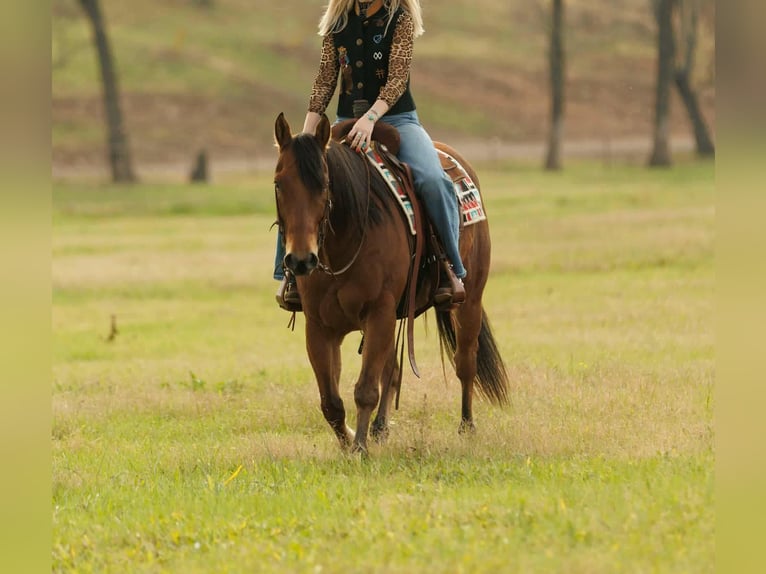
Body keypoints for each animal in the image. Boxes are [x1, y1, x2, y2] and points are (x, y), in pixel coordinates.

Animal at [272, 112, 508, 454]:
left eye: (325, 184)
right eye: (278, 184)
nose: (301, 260)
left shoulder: (378, 313)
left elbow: (365, 389)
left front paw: (359, 449)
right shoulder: (320, 326)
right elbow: (331, 401)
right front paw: (349, 443)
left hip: (470, 300)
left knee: (465, 362)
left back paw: (466, 427)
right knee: (392, 371)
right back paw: (380, 427)